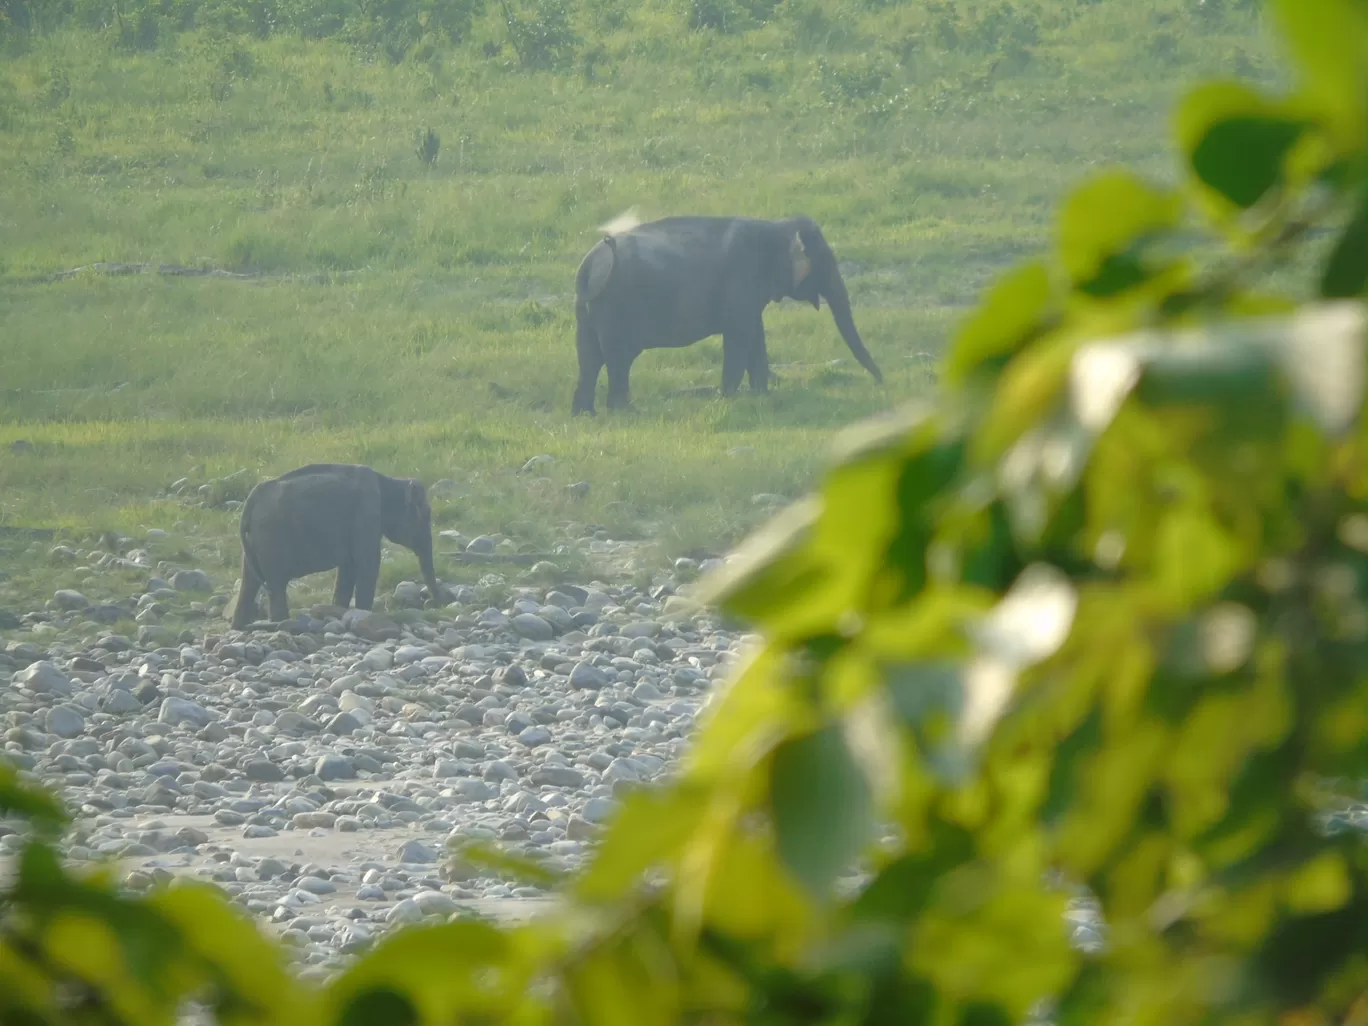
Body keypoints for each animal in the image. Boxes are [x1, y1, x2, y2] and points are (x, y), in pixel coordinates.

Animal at [229, 465, 440, 626]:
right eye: (426, 516)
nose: (432, 604)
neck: (390, 481)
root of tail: (251, 500)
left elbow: (348, 568)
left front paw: (340, 612)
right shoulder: (366, 516)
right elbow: (368, 564)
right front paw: (364, 614)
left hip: (255, 541)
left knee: (250, 582)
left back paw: (241, 626)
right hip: (271, 537)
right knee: (276, 585)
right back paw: (281, 623)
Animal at [569, 214, 880, 415]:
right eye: (826, 261)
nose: (882, 382)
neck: (776, 225)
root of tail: (588, 266)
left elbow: (756, 336)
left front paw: (762, 396)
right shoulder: (741, 280)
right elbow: (739, 336)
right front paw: (728, 398)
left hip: (588, 312)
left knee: (589, 359)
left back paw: (585, 413)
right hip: (616, 307)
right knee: (618, 359)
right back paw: (626, 411)